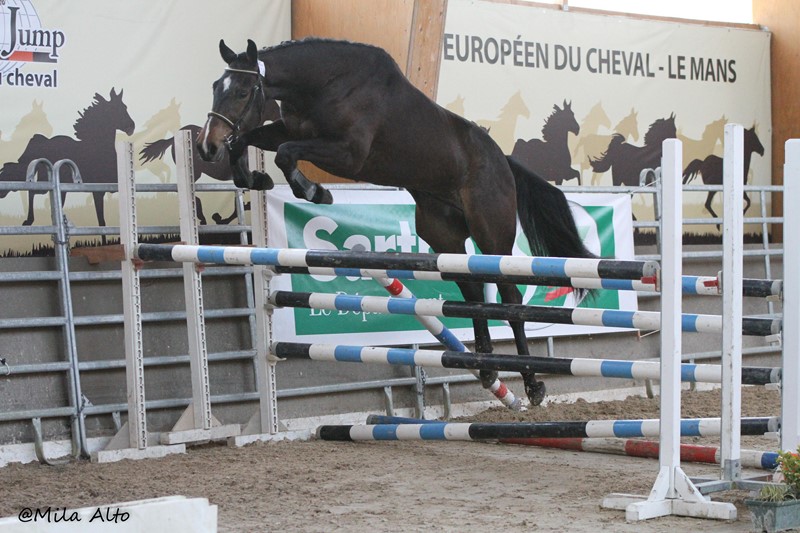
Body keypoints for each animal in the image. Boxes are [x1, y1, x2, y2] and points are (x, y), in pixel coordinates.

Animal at [194, 38, 592, 404]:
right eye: (215, 87)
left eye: (242, 91)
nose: (206, 146)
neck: (325, 84)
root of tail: (504, 163)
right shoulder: (288, 130)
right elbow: (249, 141)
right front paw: (254, 178)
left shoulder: (348, 154)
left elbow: (286, 154)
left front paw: (314, 192)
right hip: (444, 234)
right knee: (472, 291)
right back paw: (486, 368)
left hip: (491, 233)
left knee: (510, 299)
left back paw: (532, 383)